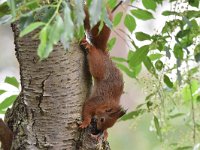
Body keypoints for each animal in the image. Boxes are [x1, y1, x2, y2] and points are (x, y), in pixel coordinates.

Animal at [79, 2, 125, 140]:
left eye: (111, 125)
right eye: (103, 119)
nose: (99, 129)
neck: (107, 103)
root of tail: (103, 53)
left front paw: (105, 134)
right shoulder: (95, 101)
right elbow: (86, 109)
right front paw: (85, 122)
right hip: (98, 65)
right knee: (94, 53)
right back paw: (89, 46)